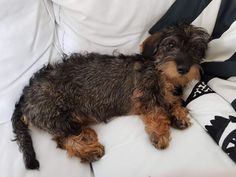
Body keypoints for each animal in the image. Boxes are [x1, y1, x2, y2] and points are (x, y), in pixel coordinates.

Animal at [12, 23, 209, 169]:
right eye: (171, 45)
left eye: (196, 48)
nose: (184, 69)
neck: (162, 74)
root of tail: (24, 97)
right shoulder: (144, 96)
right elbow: (157, 112)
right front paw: (160, 133)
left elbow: (173, 102)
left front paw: (179, 115)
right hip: (59, 116)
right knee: (66, 139)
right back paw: (89, 151)